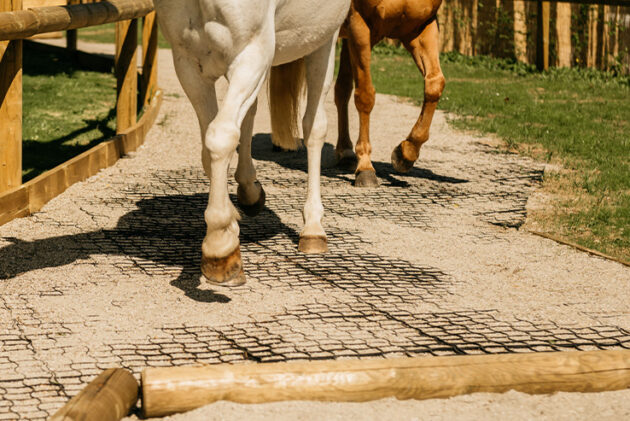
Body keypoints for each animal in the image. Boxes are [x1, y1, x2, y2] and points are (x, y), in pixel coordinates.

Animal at [153, 0, 350, 286]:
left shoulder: (251, 53)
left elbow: (219, 137)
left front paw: (219, 247)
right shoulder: (188, 65)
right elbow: (209, 150)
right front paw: (230, 229)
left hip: (322, 40)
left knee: (313, 127)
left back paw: (313, 229)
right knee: (250, 114)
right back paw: (249, 193)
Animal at [338, 0, 446, 185]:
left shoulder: (420, 28)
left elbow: (435, 83)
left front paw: (405, 153)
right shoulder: (358, 24)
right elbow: (365, 95)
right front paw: (365, 167)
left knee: (341, 90)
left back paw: (345, 153)